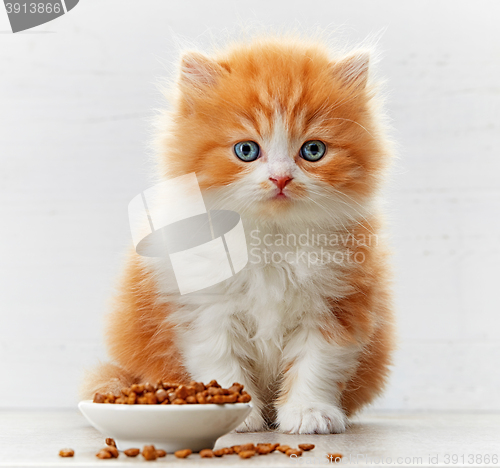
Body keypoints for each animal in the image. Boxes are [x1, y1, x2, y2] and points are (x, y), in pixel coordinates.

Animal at [82, 34, 394, 434]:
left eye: (313, 150)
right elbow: (221, 361)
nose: (281, 178)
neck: (269, 237)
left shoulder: (336, 304)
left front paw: (308, 412)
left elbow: (316, 364)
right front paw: (238, 415)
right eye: (246, 150)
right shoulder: (204, 308)